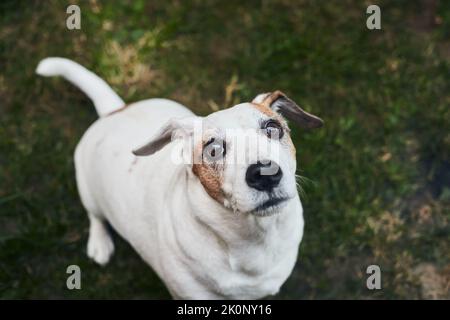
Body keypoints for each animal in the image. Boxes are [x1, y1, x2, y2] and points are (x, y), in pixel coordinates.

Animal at [37, 57, 322, 300]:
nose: (264, 174)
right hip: (87, 188)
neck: (257, 237)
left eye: (273, 128)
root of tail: (114, 110)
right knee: (95, 216)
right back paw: (99, 244)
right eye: (213, 149)